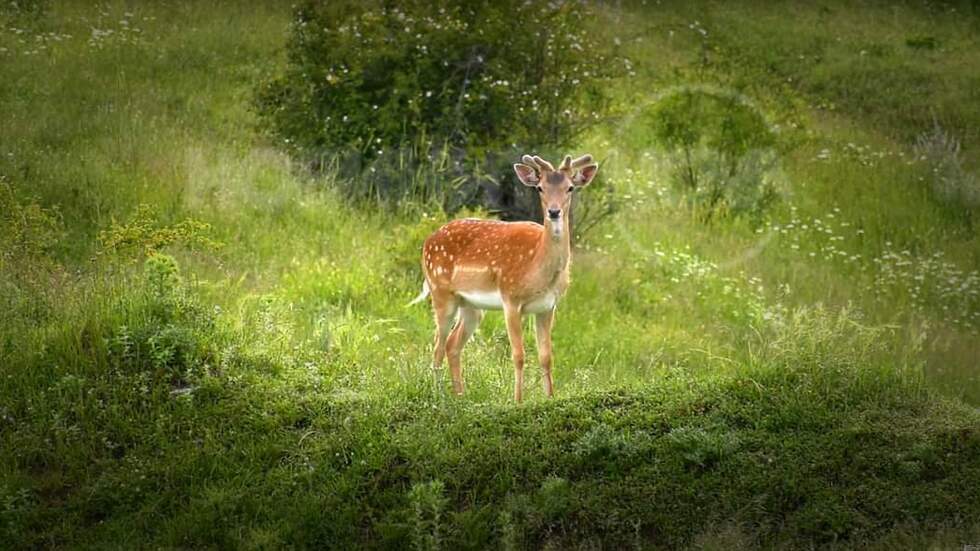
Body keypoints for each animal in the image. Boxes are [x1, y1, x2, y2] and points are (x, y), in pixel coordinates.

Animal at [408, 154, 596, 402]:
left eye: (570, 187)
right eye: (540, 188)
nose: (554, 212)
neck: (538, 268)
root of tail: (427, 242)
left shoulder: (548, 306)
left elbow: (546, 356)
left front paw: (550, 398)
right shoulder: (511, 298)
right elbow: (519, 355)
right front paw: (517, 401)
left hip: (471, 306)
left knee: (452, 343)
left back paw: (460, 395)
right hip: (440, 291)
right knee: (437, 345)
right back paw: (440, 396)